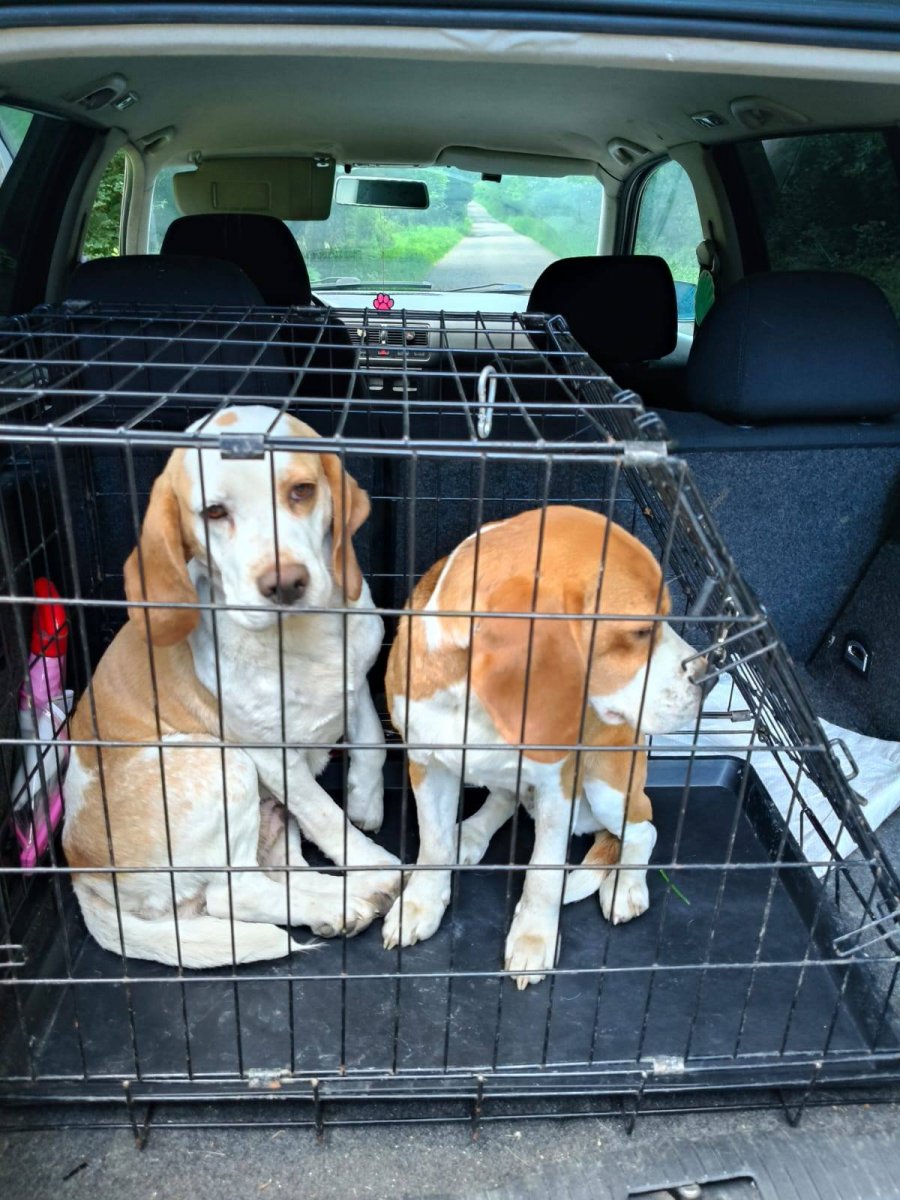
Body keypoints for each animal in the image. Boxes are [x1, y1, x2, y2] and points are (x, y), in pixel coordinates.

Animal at [63, 405, 398, 968]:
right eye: (215, 512)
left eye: (302, 491)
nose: (285, 583)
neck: (298, 637)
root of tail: (82, 877)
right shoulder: (268, 752)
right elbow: (325, 814)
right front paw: (371, 861)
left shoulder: (354, 684)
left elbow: (372, 745)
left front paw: (366, 803)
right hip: (220, 764)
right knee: (233, 894)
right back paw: (349, 896)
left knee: (276, 874)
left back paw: (337, 903)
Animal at [383, 506, 707, 987]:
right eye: (640, 630)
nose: (710, 676)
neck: (480, 703)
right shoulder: (427, 764)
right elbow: (433, 843)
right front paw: (420, 903)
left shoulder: (560, 785)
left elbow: (544, 873)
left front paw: (534, 937)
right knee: (505, 798)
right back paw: (471, 834)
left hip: (605, 786)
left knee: (643, 828)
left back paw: (625, 885)